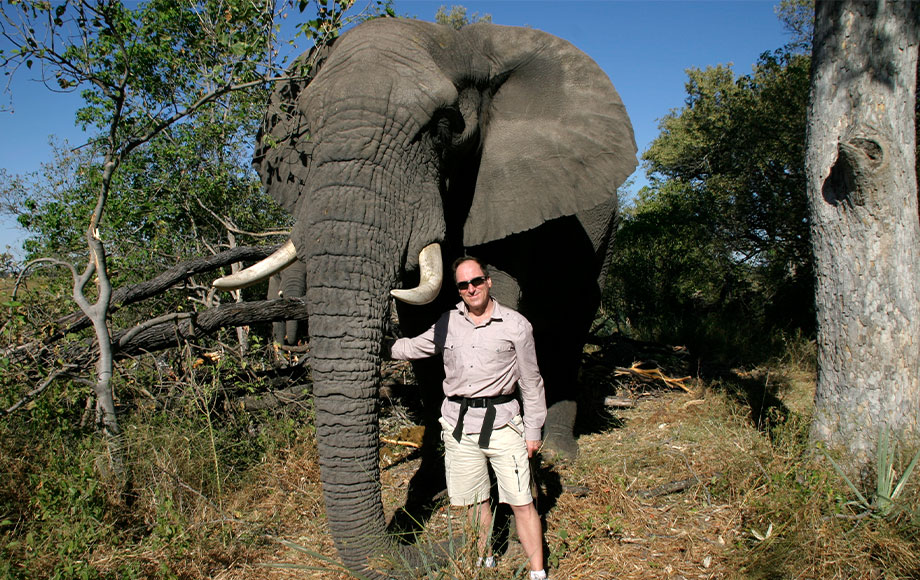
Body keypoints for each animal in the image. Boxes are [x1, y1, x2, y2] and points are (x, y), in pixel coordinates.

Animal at [216, 18, 636, 580]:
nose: (443, 547)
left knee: (570, 317)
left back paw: (560, 452)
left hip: (602, 219)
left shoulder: (502, 188)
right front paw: (442, 468)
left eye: (444, 125)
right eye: (305, 129)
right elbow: (422, 329)